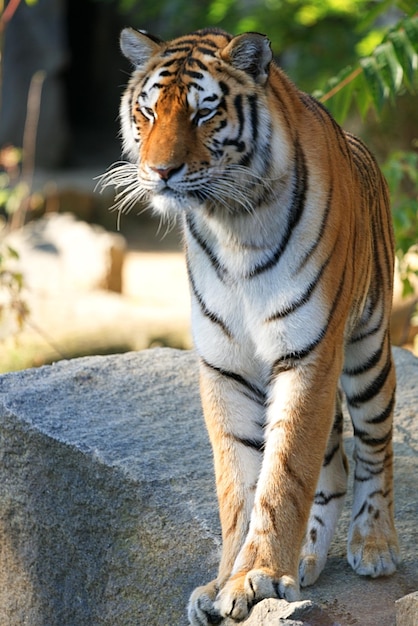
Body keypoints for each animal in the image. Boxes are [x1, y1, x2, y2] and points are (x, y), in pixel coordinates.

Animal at [101, 26, 402, 620]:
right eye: (148, 111)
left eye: (203, 113)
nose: (160, 172)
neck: (231, 224)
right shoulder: (225, 365)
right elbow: (240, 483)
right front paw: (225, 583)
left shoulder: (308, 353)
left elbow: (284, 474)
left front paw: (257, 576)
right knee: (334, 465)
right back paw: (306, 558)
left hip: (367, 353)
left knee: (375, 449)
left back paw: (374, 545)